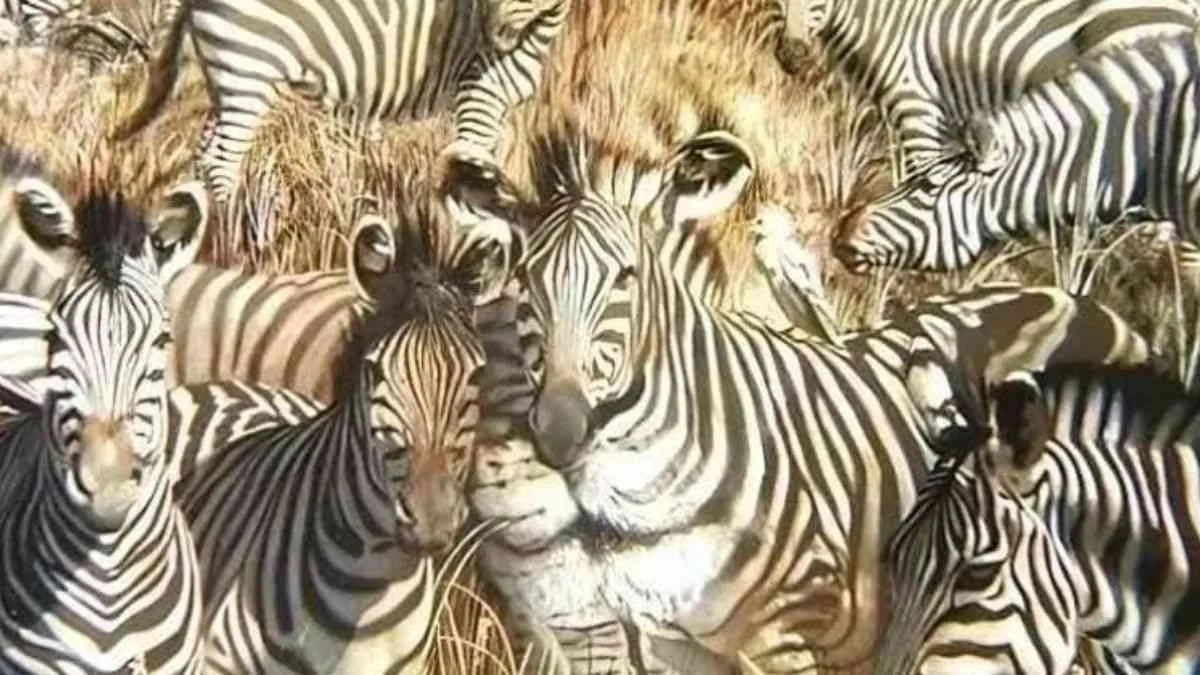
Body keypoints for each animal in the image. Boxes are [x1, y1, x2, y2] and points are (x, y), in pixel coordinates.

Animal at [112, 0, 569, 234]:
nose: (490, 39)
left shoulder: (495, 105)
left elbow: (485, 169)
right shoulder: (478, 95)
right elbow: (470, 172)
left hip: (221, 80)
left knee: (206, 153)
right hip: (248, 70)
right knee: (223, 161)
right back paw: (233, 240)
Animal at [470, 127, 1158, 672]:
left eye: (625, 278)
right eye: (526, 279)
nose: (557, 429)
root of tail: (1073, 299)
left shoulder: (790, 635)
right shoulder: (673, 644)